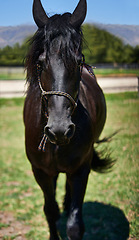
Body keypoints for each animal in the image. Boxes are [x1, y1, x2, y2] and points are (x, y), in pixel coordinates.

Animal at [23, 0, 113, 240]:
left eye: (79, 61)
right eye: (40, 63)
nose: (59, 129)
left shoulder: (81, 169)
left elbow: (74, 224)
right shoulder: (40, 172)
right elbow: (50, 211)